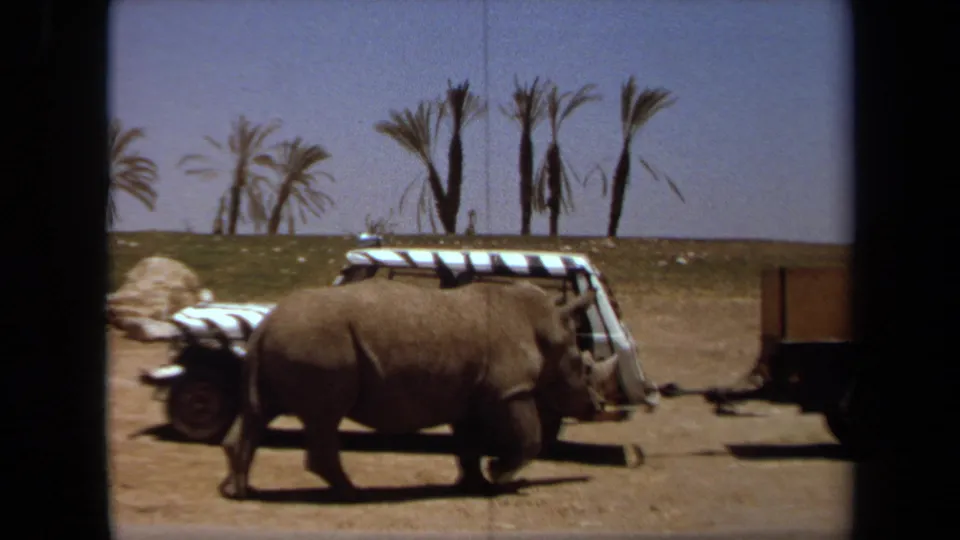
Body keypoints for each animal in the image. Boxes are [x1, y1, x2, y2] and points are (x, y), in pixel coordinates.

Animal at [218, 278, 620, 501]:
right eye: (582, 367)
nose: (598, 405)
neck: (547, 328)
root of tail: (265, 323)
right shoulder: (511, 390)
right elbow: (530, 438)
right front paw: (497, 475)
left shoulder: (472, 395)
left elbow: (467, 444)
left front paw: (474, 485)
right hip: (317, 341)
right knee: (324, 418)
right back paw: (352, 494)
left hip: (290, 340)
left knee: (260, 411)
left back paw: (238, 492)